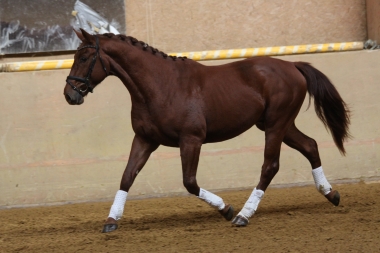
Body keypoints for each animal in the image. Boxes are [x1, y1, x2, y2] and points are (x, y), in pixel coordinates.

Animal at [63, 28, 350, 232]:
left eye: (85, 57)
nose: (70, 94)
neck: (160, 86)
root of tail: (292, 66)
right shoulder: (145, 139)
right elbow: (127, 177)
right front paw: (111, 220)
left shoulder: (191, 140)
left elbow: (189, 182)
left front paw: (226, 209)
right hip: (280, 124)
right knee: (310, 145)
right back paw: (331, 194)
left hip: (276, 125)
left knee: (270, 166)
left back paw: (243, 216)